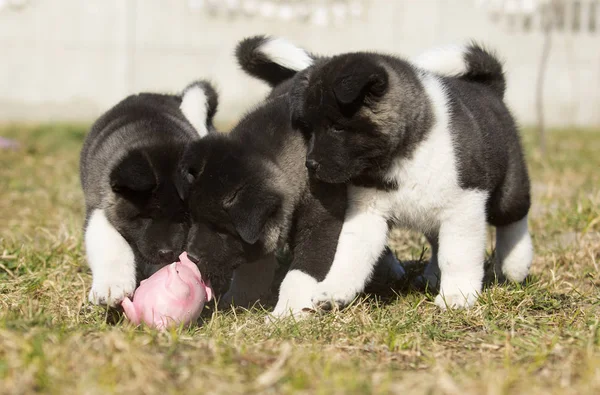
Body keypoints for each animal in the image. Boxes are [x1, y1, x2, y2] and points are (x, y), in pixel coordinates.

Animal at [81, 82, 218, 308]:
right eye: (145, 216)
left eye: (186, 218)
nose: (166, 253)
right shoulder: (100, 206)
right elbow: (111, 245)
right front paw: (112, 286)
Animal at [290, 43, 528, 310]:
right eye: (309, 129)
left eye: (337, 127)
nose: (310, 165)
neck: (402, 153)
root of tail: (492, 90)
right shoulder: (368, 212)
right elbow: (350, 255)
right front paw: (333, 292)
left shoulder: (464, 205)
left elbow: (457, 256)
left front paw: (457, 296)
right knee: (437, 242)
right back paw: (433, 276)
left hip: (508, 186)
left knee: (514, 218)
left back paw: (515, 267)